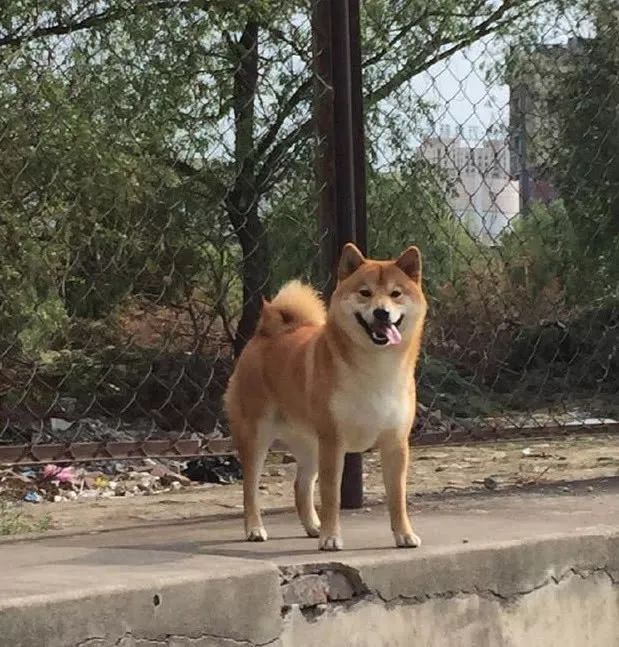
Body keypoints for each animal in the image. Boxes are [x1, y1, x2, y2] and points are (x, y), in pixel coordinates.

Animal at [225, 243, 428, 552]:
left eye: (396, 293)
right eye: (365, 292)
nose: (382, 313)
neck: (376, 368)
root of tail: (266, 332)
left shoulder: (395, 443)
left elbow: (397, 498)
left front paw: (404, 534)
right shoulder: (333, 443)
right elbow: (332, 496)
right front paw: (331, 537)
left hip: (310, 444)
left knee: (301, 485)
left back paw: (312, 526)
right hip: (256, 436)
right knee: (250, 489)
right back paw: (255, 529)